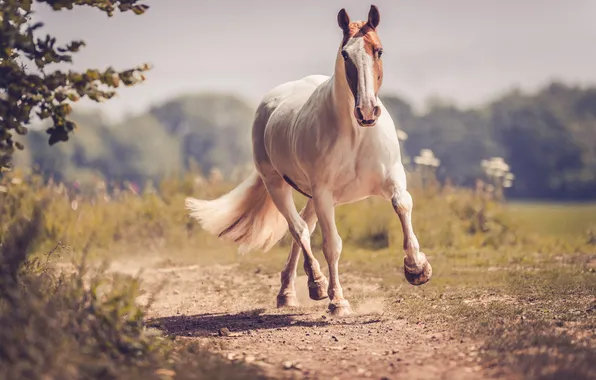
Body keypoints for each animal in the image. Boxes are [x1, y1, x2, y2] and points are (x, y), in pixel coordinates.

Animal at [184, 4, 430, 316]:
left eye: (379, 50)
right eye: (345, 54)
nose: (366, 111)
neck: (356, 135)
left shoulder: (392, 179)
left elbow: (402, 205)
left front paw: (417, 268)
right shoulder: (323, 193)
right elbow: (332, 245)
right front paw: (337, 301)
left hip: (315, 197)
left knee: (302, 228)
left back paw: (290, 292)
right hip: (279, 186)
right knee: (299, 229)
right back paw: (312, 285)